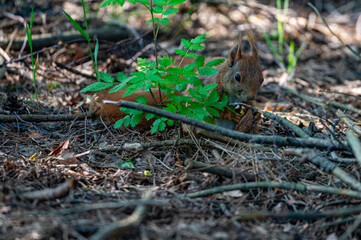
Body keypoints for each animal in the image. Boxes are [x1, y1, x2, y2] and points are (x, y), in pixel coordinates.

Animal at [93, 34, 262, 131]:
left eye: (262, 79)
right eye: (237, 77)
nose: (251, 97)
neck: (235, 97)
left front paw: (255, 111)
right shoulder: (211, 92)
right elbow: (214, 108)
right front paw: (229, 113)